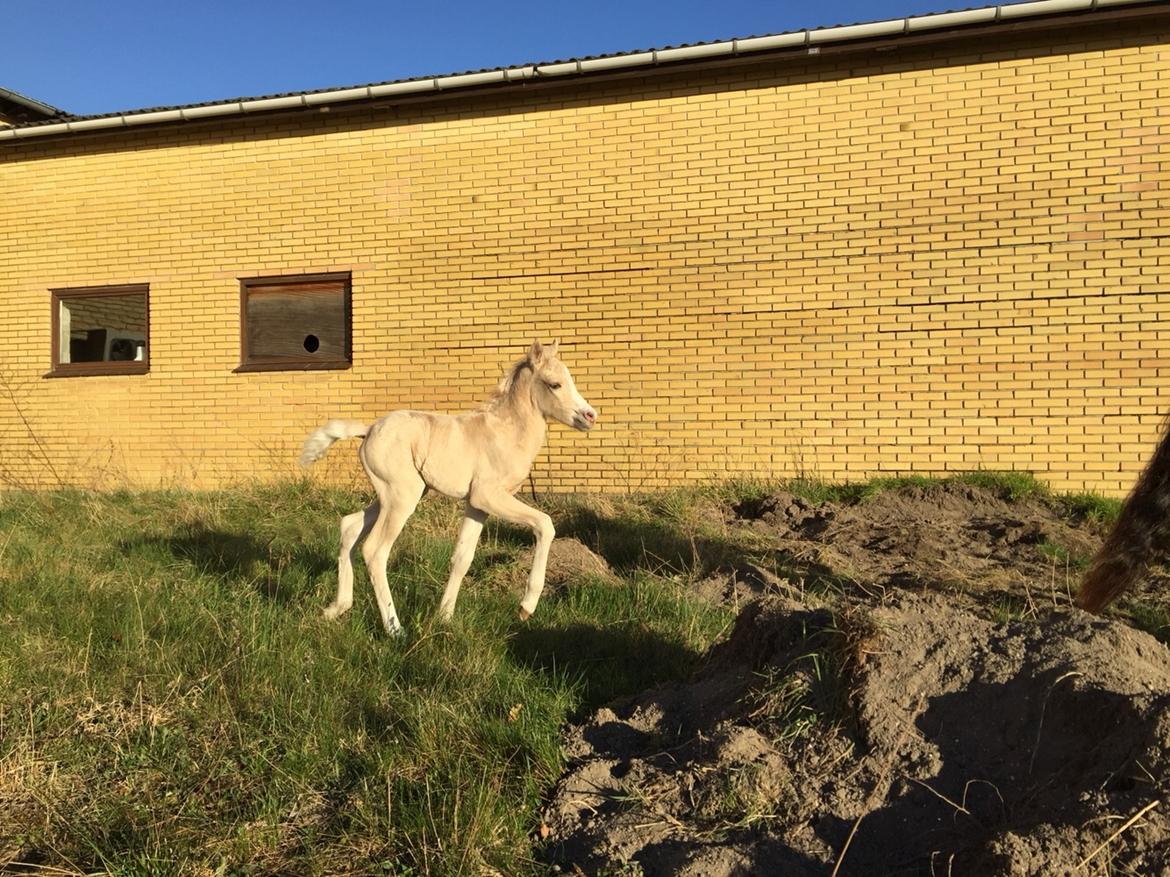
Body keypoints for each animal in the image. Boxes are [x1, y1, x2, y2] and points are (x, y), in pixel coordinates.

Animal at [300, 341, 597, 635]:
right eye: (555, 384)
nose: (590, 416)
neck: (506, 431)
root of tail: (369, 429)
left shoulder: (477, 505)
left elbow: (462, 558)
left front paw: (443, 617)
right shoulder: (488, 495)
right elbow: (545, 524)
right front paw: (526, 607)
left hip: (397, 493)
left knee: (350, 526)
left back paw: (336, 608)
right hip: (401, 496)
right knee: (375, 550)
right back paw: (395, 629)